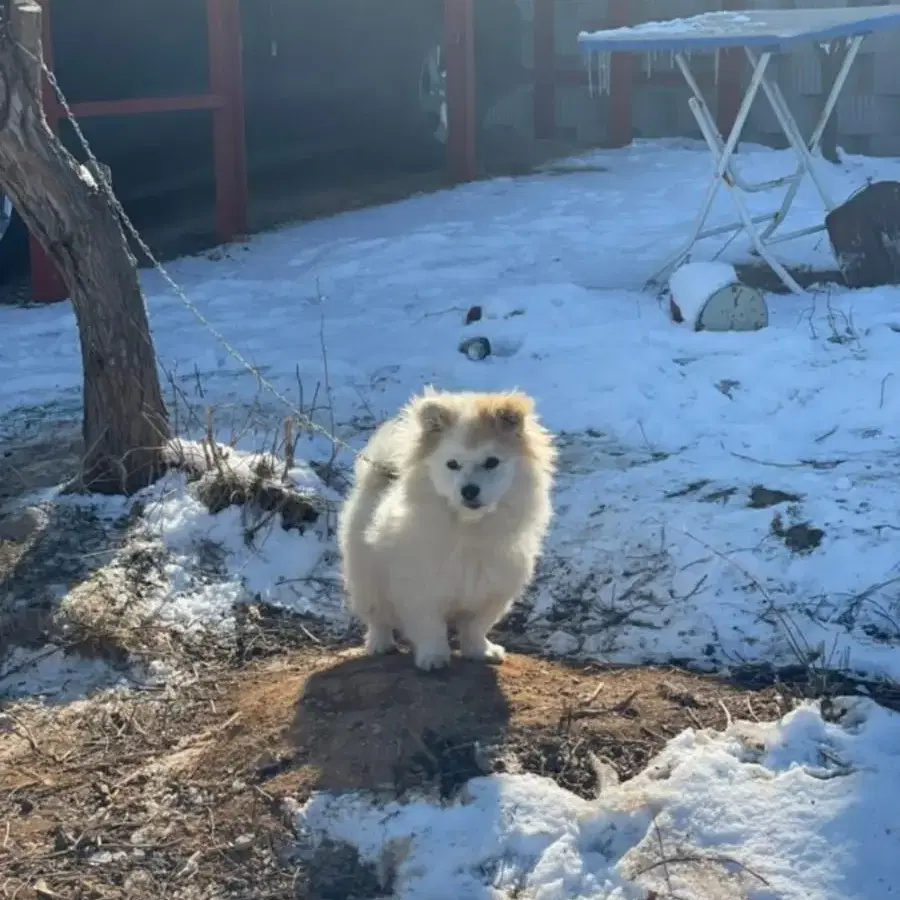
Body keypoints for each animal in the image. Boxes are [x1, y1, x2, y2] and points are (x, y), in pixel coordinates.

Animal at [338, 386, 556, 668]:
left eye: (491, 462)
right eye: (452, 464)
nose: (469, 490)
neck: (469, 530)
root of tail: (379, 477)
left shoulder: (491, 593)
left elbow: (476, 627)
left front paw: (481, 651)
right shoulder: (421, 590)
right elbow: (430, 627)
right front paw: (433, 658)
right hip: (366, 583)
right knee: (378, 620)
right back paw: (380, 644)